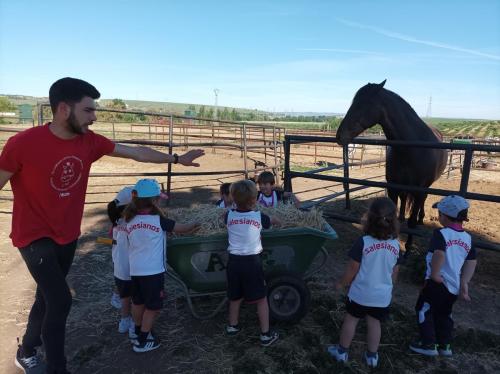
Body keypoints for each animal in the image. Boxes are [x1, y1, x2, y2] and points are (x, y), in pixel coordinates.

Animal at [338, 79, 448, 248]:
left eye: (361, 105)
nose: (339, 135)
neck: (410, 148)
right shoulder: (393, 187)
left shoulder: (418, 190)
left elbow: (412, 221)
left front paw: (408, 248)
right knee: (404, 199)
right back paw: (403, 216)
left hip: (425, 187)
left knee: (423, 200)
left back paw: (421, 218)